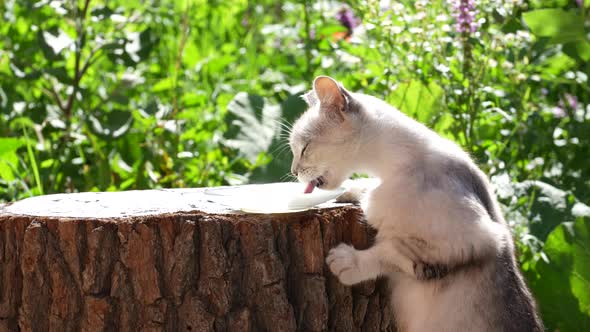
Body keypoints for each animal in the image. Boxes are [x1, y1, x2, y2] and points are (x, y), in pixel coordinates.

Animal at [290, 76, 544, 332]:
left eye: (304, 148)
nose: (294, 171)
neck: (387, 171)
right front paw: (351, 191)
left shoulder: (477, 238)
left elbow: (391, 251)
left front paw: (348, 262)